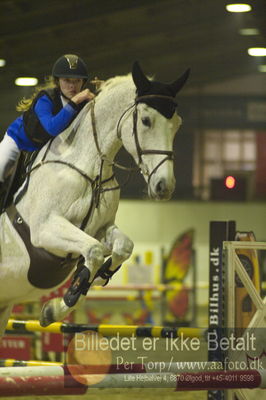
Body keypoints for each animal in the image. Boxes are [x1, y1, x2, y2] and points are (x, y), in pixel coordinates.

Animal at [0, 60, 189, 334]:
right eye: (145, 120)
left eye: (177, 124)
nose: (164, 186)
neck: (90, 168)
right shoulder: (44, 229)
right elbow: (95, 250)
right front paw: (57, 306)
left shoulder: (100, 227)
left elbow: (122, 247)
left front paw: (98, 277)